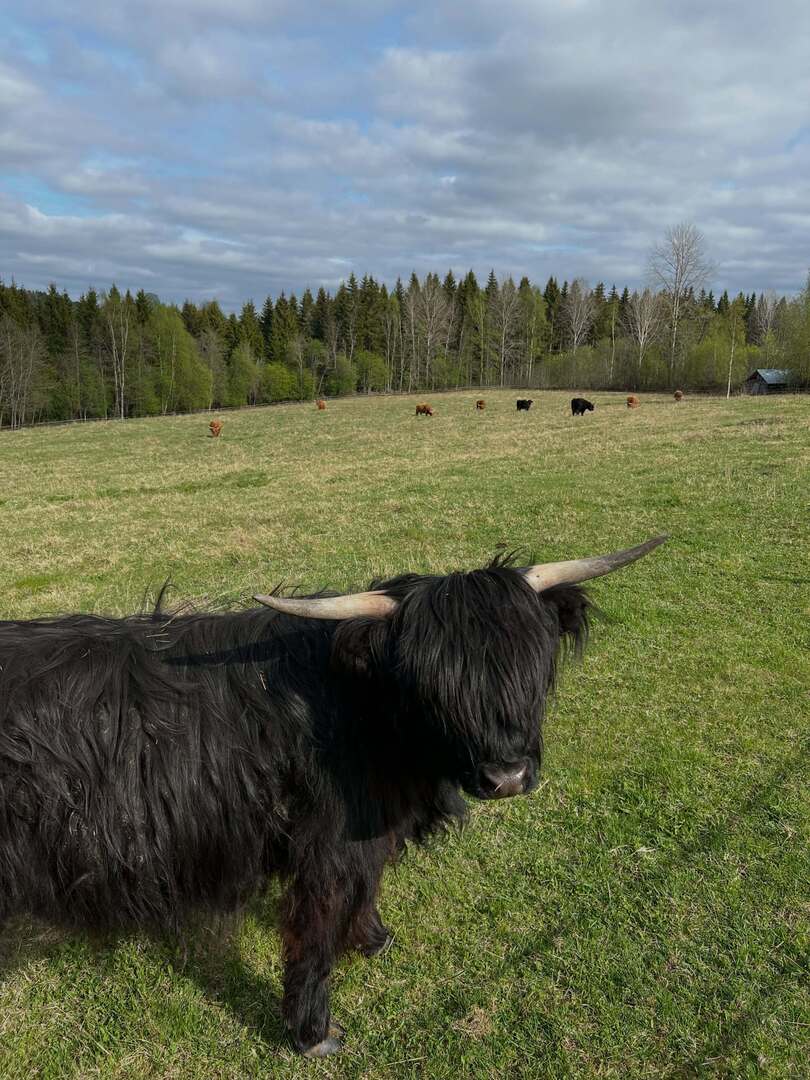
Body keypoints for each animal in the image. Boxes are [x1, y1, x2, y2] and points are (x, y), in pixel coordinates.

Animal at [0, 536, 666, 1057]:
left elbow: (368, 887)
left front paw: (372, 939)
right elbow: (317, 926)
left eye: (533, 661)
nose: (506, 777)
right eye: (433, 683)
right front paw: (312, 1031)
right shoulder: (325, 842)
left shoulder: (369, 827)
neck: (363, 706)